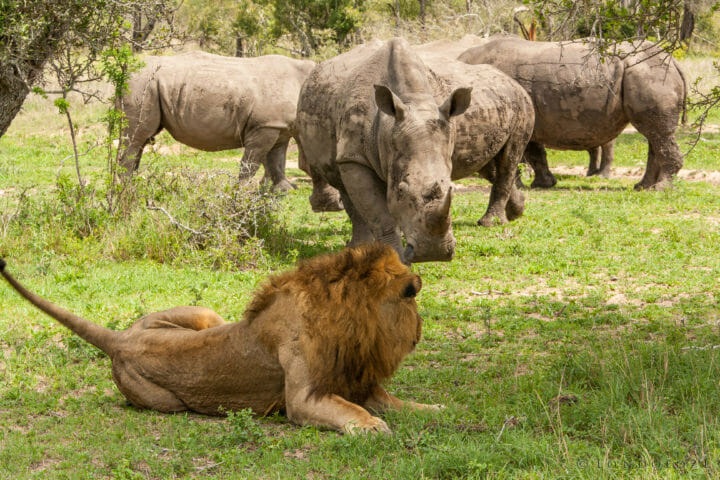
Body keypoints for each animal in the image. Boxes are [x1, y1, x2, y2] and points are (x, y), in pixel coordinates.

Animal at [1, 246, 438, 434]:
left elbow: (398, 403)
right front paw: (372, 426)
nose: (419, 331)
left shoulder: (357, 380)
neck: (352, 322)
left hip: (203, 314)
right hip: (166, 403)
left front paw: (433, 408)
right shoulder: (303, 399)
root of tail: (121, 339)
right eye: (413, 300)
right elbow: (352, 411)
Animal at [119, 50, 316, 189]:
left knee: (141, 140)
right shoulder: (266, 125)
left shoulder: (278, 126)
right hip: (142, 83)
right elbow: (252, 161)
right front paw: (242, 191)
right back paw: (126, 186)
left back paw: (131, 183)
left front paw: (284, 189)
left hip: (149, 85)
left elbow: (277, 160)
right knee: (136, 138)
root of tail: (128, 69)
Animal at [296, 38, 476, 264]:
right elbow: (380, 215)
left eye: (450, 188)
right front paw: (396, 259)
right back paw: (358, 249)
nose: (433, 254)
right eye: (401, 190)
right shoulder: (354, 156)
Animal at [458, 36, 688, 189]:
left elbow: (518, 153)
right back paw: (643, 187)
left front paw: (521, 186)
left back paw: (660, 188)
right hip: (648, 73)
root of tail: (673, 61)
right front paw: (543, 184)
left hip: (650, 73)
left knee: (657, 133)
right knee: (654, 135)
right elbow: (535, 152)